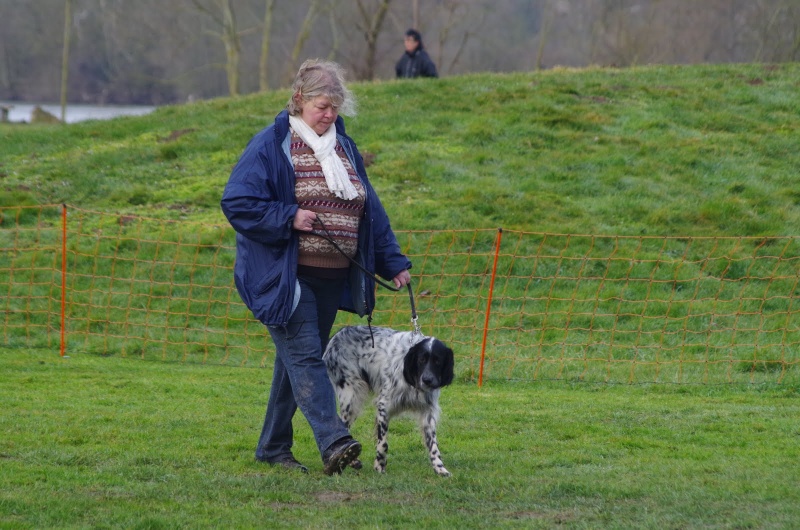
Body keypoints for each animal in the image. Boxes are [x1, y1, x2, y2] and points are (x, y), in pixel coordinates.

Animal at [322, 324, 454, 476]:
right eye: (421, 359)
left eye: (438, 361)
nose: (427, 380)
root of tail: (337, 334)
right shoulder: (384, 406)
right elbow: (383, 442)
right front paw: (379, 466)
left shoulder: (428, 411)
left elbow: (433, 444)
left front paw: (440, 468)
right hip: (351, 397)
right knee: (343, 426)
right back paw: (349, 458)